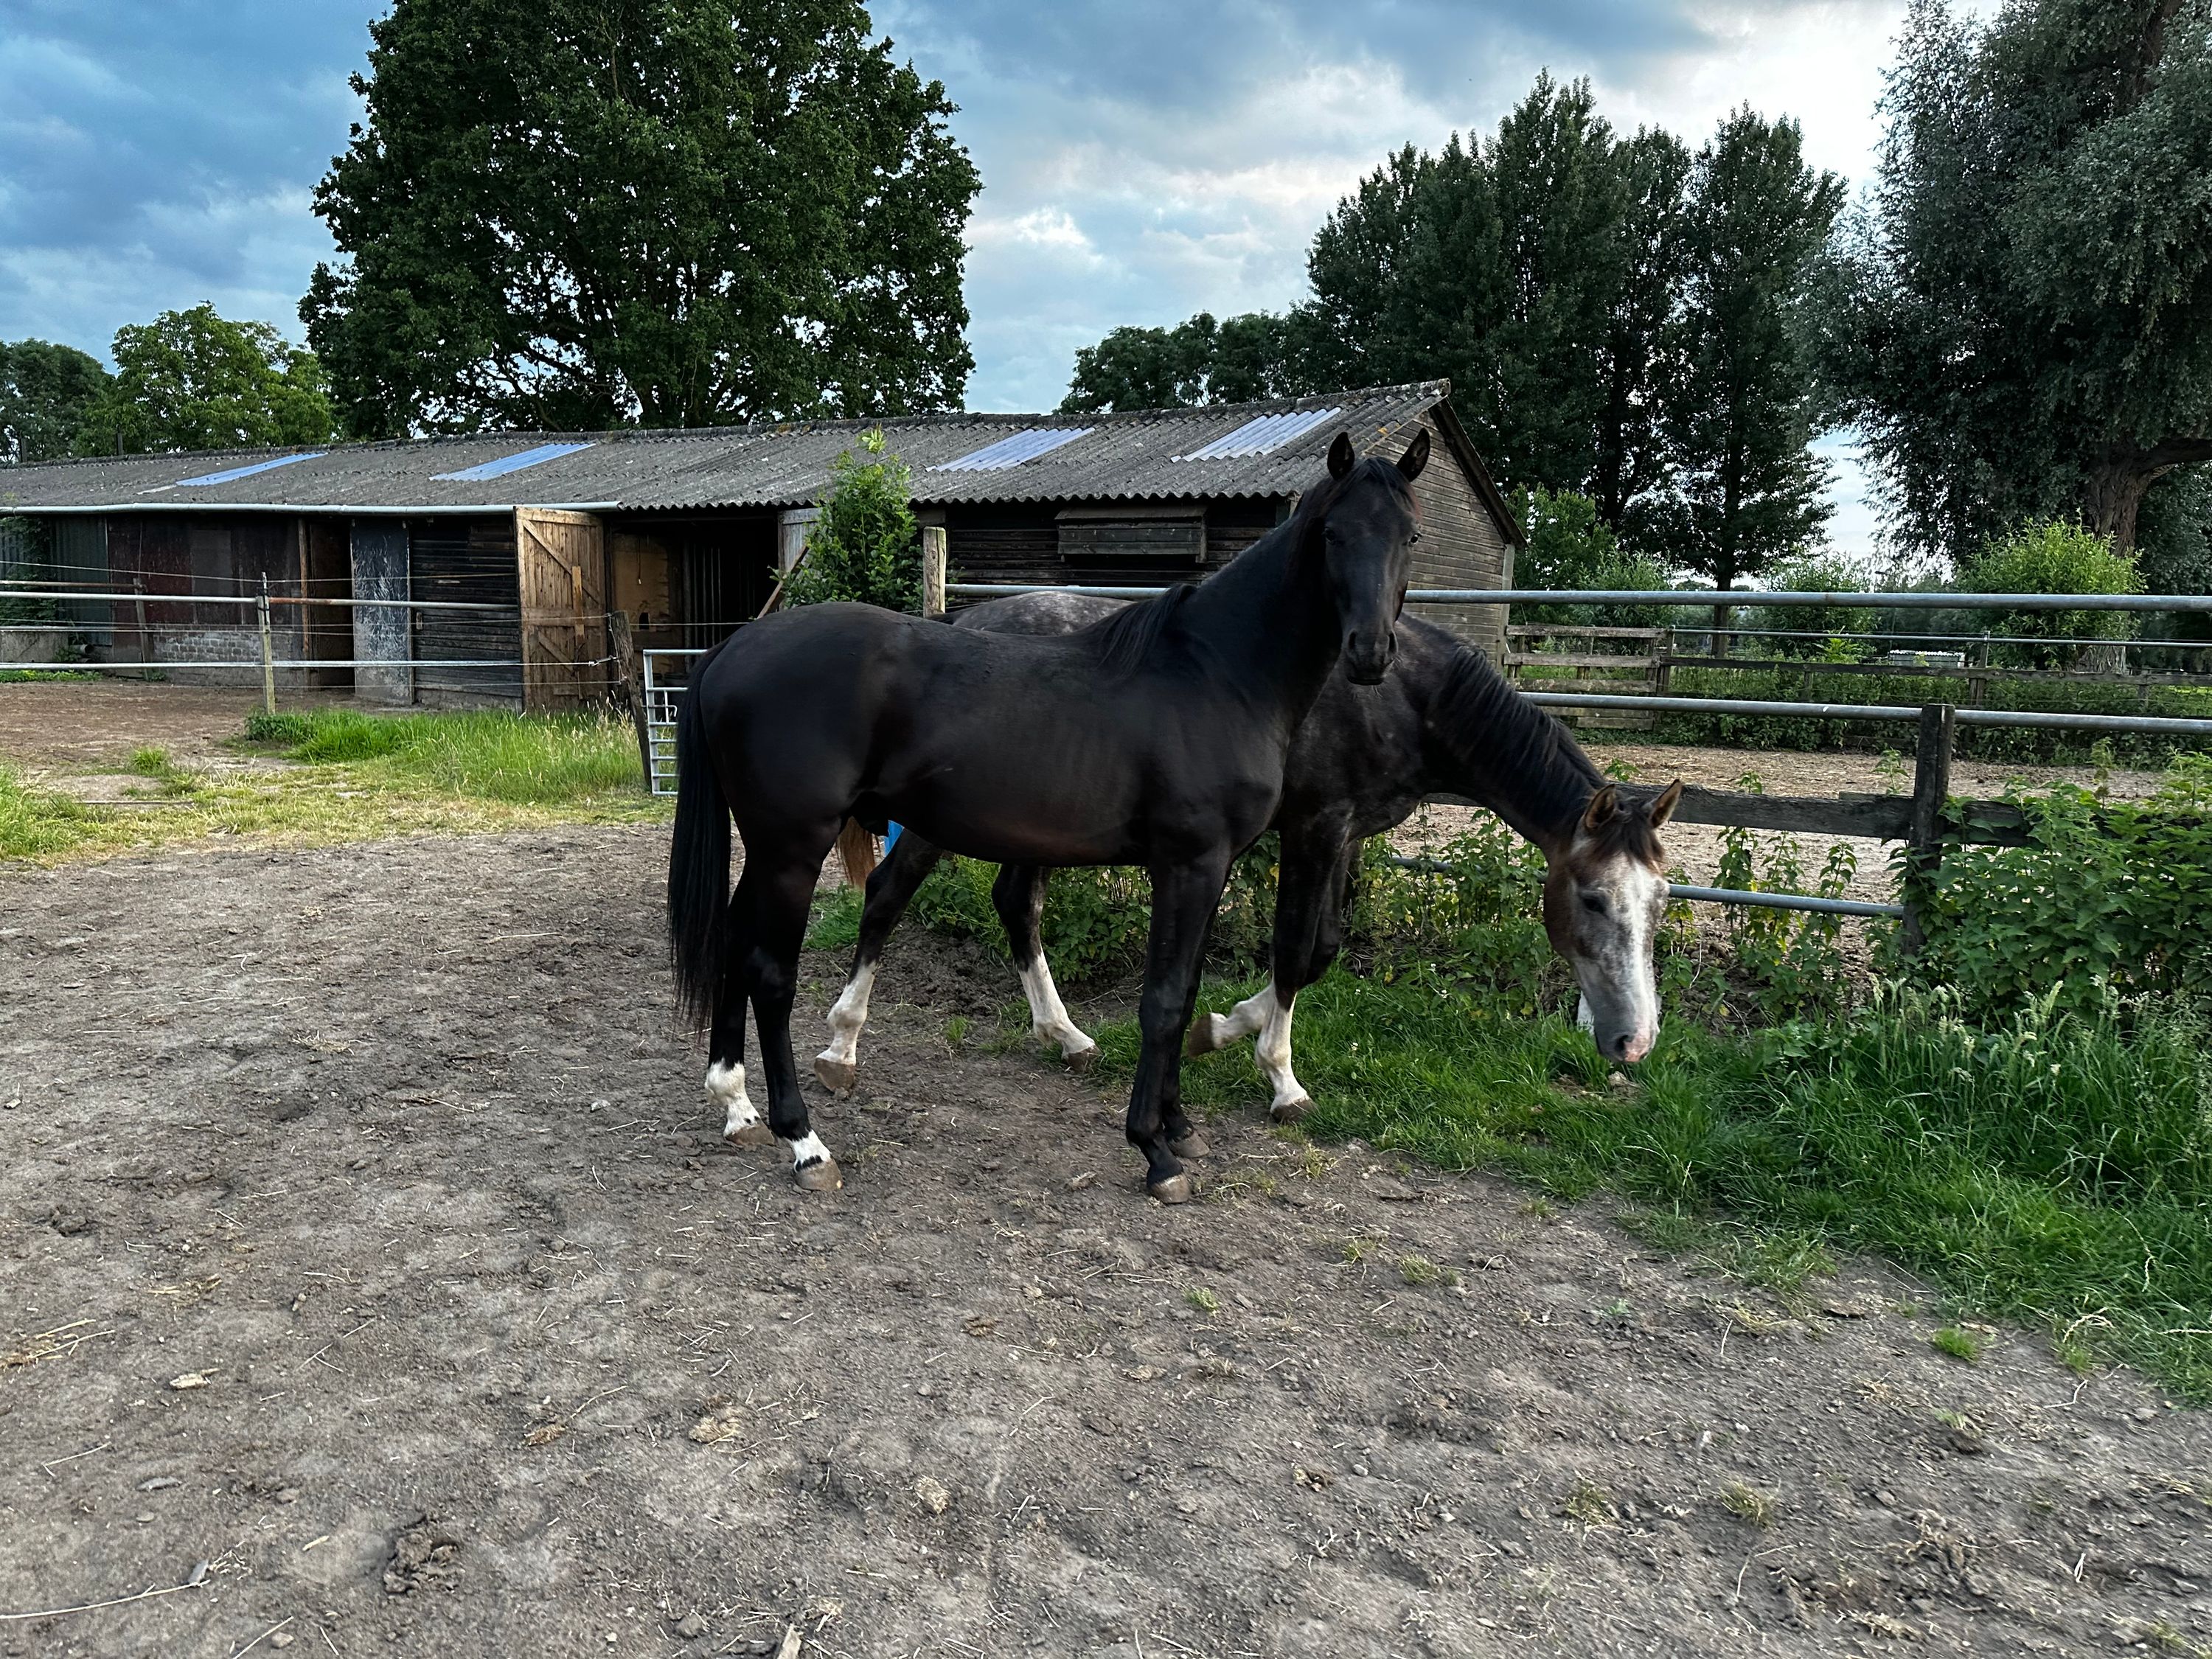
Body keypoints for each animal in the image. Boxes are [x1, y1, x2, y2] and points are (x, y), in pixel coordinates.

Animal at [668, 429, 1430, 1202]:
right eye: (1333, 535)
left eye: (1410, 536)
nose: (1370, 653)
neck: (1217, 673)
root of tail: (733, 647)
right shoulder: (1188, 863)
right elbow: (1162, 1001)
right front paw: (1155, 1150)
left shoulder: (1212, 868)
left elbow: (1186, 993)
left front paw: (1180, 1124)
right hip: (794, 848)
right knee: (770, 972)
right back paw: (805, 1142)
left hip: (770, 849)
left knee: (736, 939)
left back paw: (736, 1105)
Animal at [814, 601, 1682, 1122]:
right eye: (1593, 900)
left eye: (1663, 901)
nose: (1635, 1044)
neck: (1401, 692)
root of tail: (965, 612)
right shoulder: (1316, 826)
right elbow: (1296, 949)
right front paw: (1280, 1077)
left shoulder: (1349, 834)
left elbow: (1322, 950)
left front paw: (1219, 1028)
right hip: (941, 824)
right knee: (890, 892)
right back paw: (841, 1048)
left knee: (1015, 904)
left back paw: (1064, 1035)